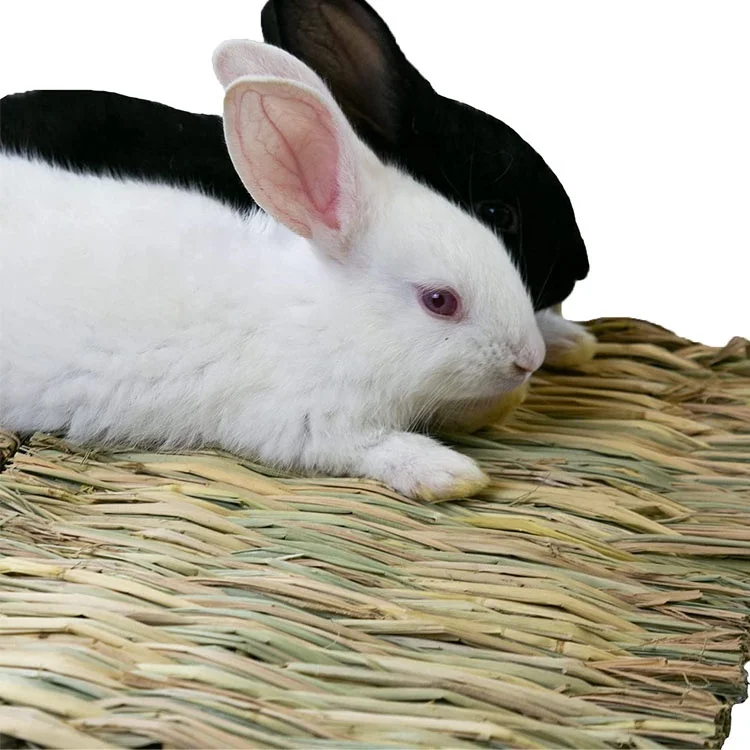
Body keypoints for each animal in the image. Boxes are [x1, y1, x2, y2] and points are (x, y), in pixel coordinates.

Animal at [0, 39, 546, 501]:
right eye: (439, 301)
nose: (531, 358)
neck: (326, 320)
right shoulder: (307, 421)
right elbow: (368, 447)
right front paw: (451, 475)